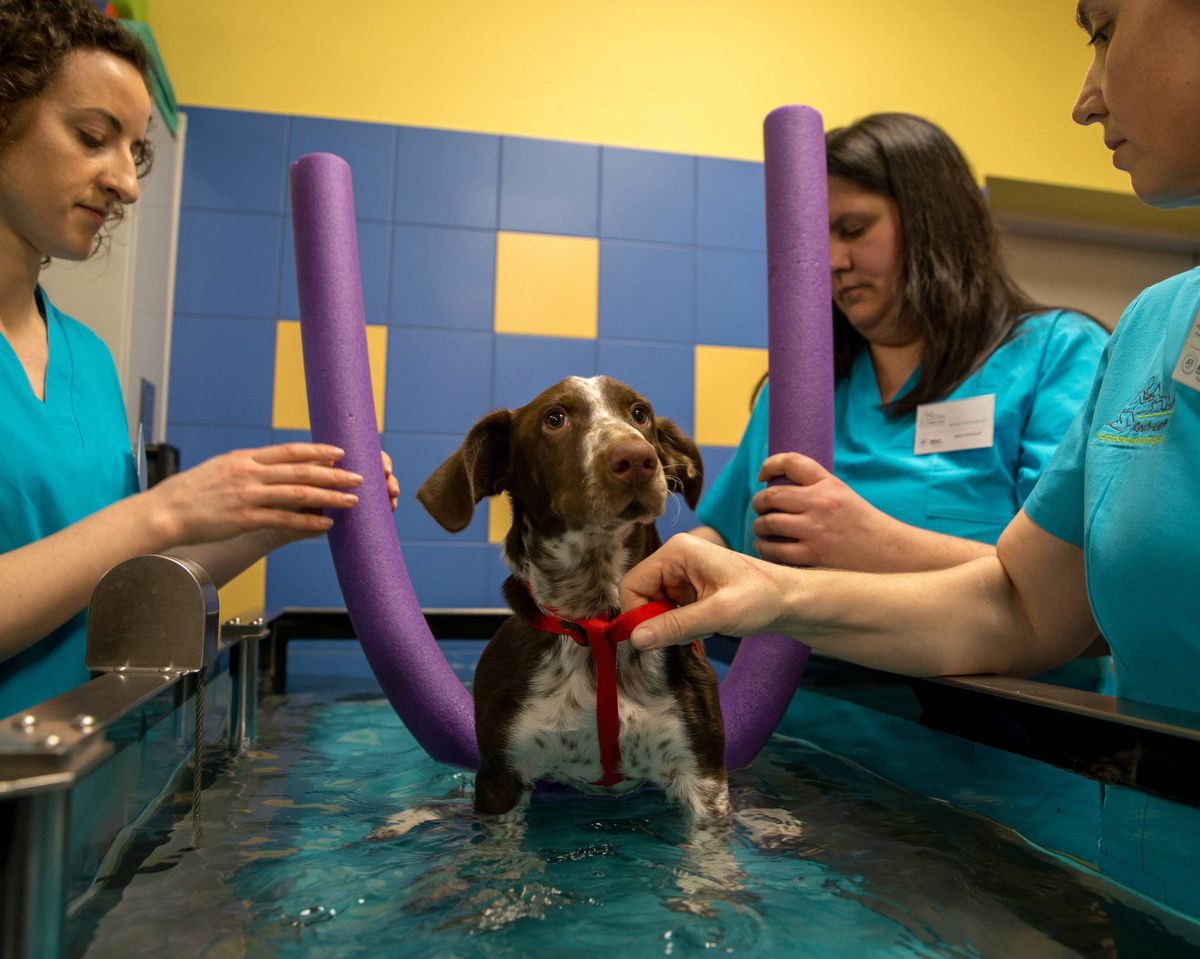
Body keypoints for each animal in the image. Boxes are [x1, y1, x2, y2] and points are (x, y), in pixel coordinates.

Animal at [417, 376, 724, 825]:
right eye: (555, 419)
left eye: (640, 414)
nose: (637, 458)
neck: (596, 619)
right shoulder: (499, 779)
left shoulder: (704, 779)